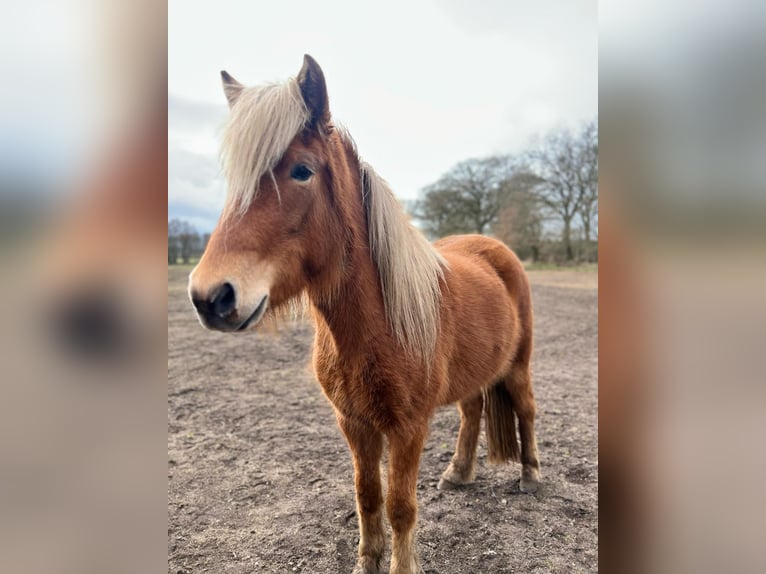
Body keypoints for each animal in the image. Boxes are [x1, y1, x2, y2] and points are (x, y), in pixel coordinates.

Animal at [188, 55, 540, 574]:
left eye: (302, 170)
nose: (210, 296)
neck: (373, 329)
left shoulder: (408, 427)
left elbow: (400, 506)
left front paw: (401, 565)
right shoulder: (353, 423)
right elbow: (367, 495)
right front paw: (367, 562)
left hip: (518, 365)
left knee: (527, 410)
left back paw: (531, 476)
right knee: (473, 409)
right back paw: (458, 473)